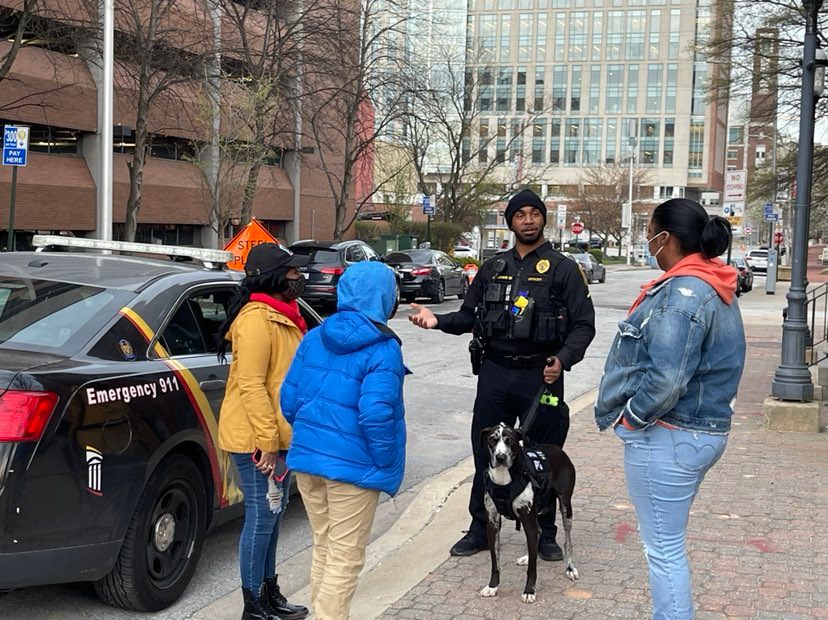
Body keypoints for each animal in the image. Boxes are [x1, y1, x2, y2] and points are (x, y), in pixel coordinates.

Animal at [478, 424, 576, 604]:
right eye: (492, 440)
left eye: (510, 440)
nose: (500, 457)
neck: (504, 480)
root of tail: (557, 449)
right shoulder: (492, 524)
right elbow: (495, 563)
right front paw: (492, 586)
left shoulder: (528, 521)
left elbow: (532, 569)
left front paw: (529, 590)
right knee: (539, 533)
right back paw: (528, 557)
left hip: (566, 507)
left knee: (568, 540)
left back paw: (570, 568)